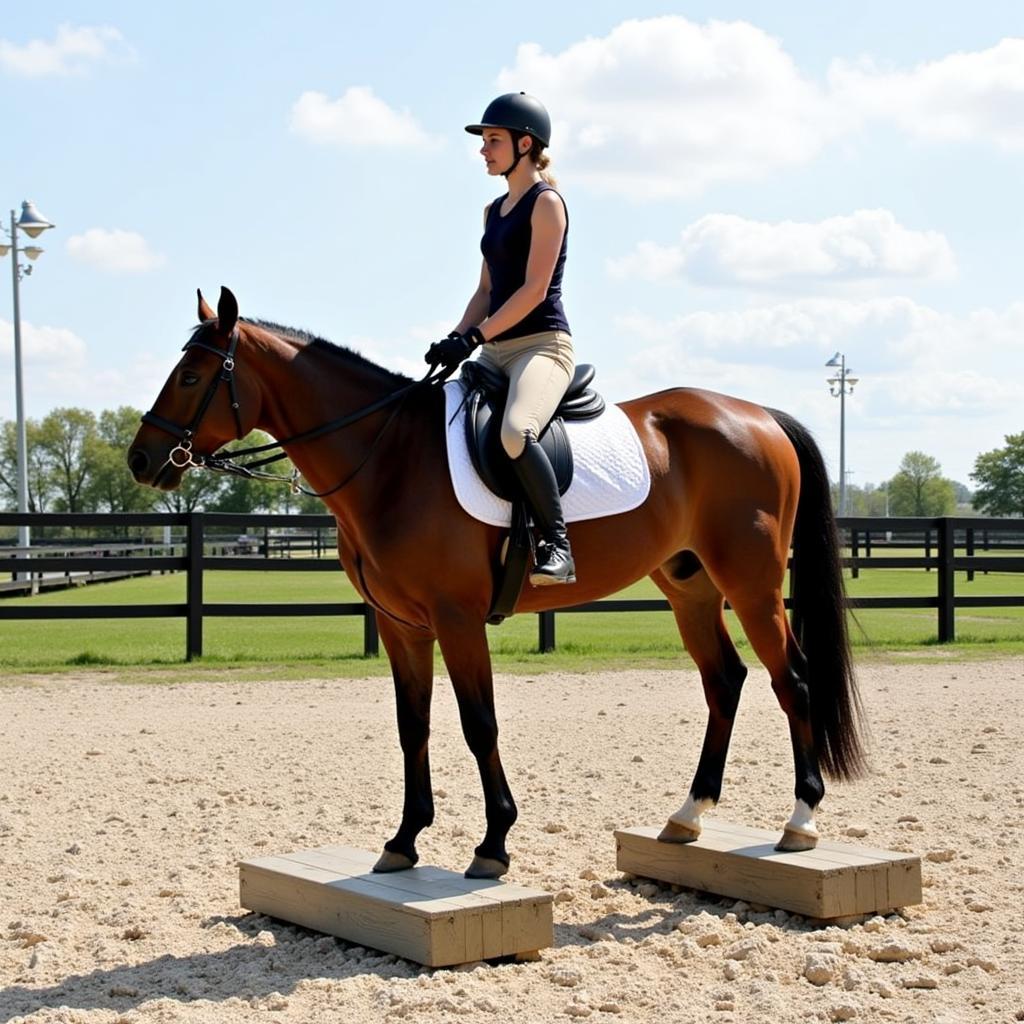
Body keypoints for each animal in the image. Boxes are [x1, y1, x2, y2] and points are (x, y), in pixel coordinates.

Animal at [128, 286, 864, 880]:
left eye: (191, 375)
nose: (140, 459)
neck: (390, 457)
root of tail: (759, 415)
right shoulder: (401, 627)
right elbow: (413, 726)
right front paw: (403, 841)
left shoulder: (456, 619)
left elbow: (478, 723)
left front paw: (493, 845)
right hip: (690, 587)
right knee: (725, 680)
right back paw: (688, 816)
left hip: (753, 586)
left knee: (792, 680)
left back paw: (800, 821)